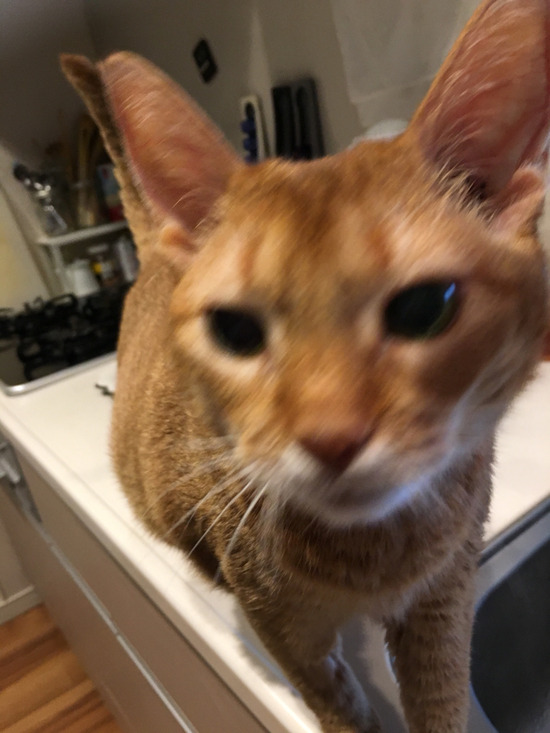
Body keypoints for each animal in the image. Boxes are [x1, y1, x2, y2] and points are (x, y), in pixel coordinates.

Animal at [61, 0, 549, 730]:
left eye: (426, 307)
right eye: (234, 329)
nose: (332, 436)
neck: (371, 556)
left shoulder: (446, 599)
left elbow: (440, 698)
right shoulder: (289, 637)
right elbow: (336, 703)